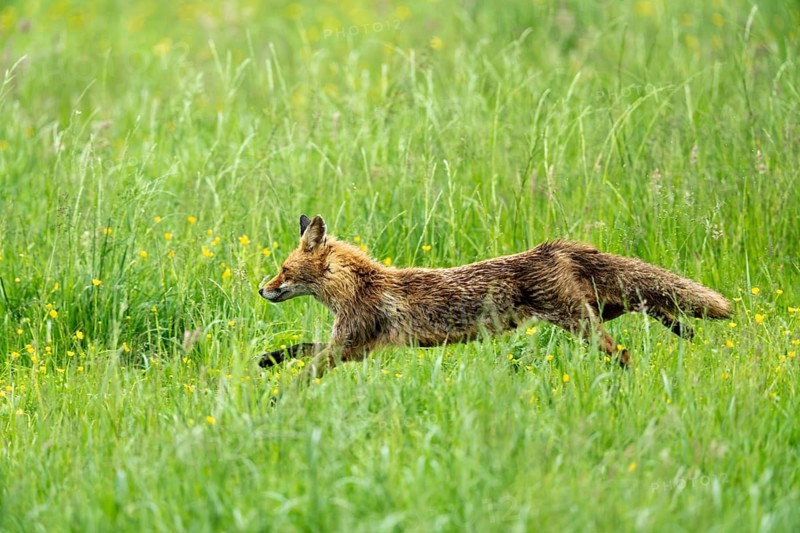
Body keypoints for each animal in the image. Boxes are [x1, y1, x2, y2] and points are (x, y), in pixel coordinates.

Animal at [258, 214, 732, 375]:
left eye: (284, 270)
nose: (262, 289)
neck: (361, 286)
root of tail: (552, 248)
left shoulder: (348, 346)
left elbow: (306, 371)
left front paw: (279, 400)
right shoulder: (356, 348)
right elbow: (299, 349)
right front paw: (268, 362)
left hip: (580, 322)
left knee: (625, 350)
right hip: (597, 310)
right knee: (647, 303)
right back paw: (683, 331)